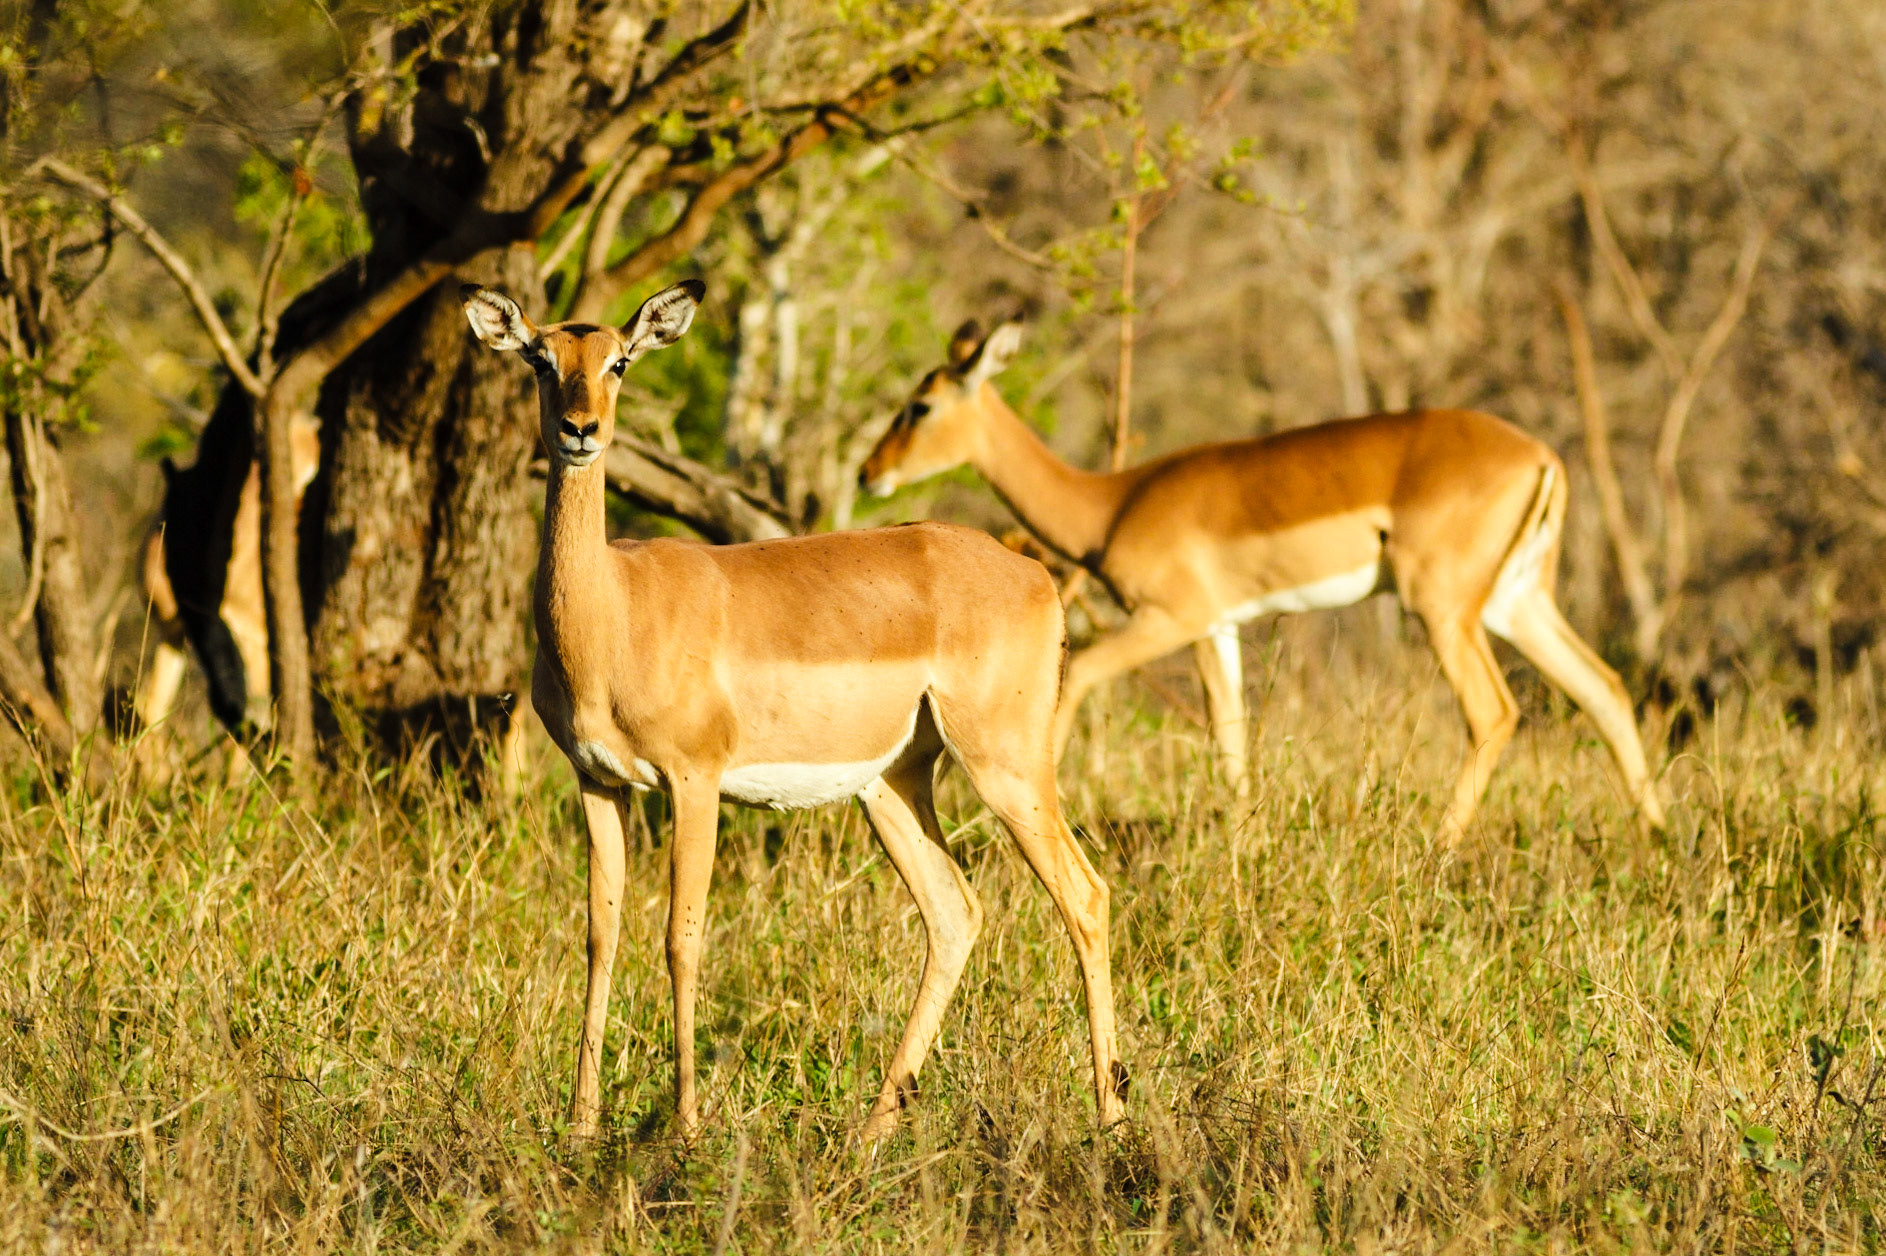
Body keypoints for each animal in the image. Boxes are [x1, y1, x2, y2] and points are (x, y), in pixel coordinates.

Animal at [461, 280, 1123, 1141]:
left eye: (620, 361)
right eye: (541, 359)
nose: (581, 431)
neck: (613, 610)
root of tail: (1035, 575)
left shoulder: (694, 781)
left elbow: (681, 937)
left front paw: (686, 1128)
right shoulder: (598, 782)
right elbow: (600, 936)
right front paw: (579, 1128)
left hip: (1006, 768)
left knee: (1085, 897)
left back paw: (1112, 1119)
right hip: (892, 786)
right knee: (956, 913)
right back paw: (870, 1132)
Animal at [860, 320, 1667, 843]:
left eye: (920, 405)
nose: (870, 473)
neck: (1112, 502)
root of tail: (1542, 456)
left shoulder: (1168, 619)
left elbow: (1083, 676)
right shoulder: (1218, 630)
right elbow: (1230, 732)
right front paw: (1240, 834)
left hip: (1441, 608)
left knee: (1495, 711)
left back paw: (1438, 843)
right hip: (1515, 604)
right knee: (1603, 686)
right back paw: (1655, 833)